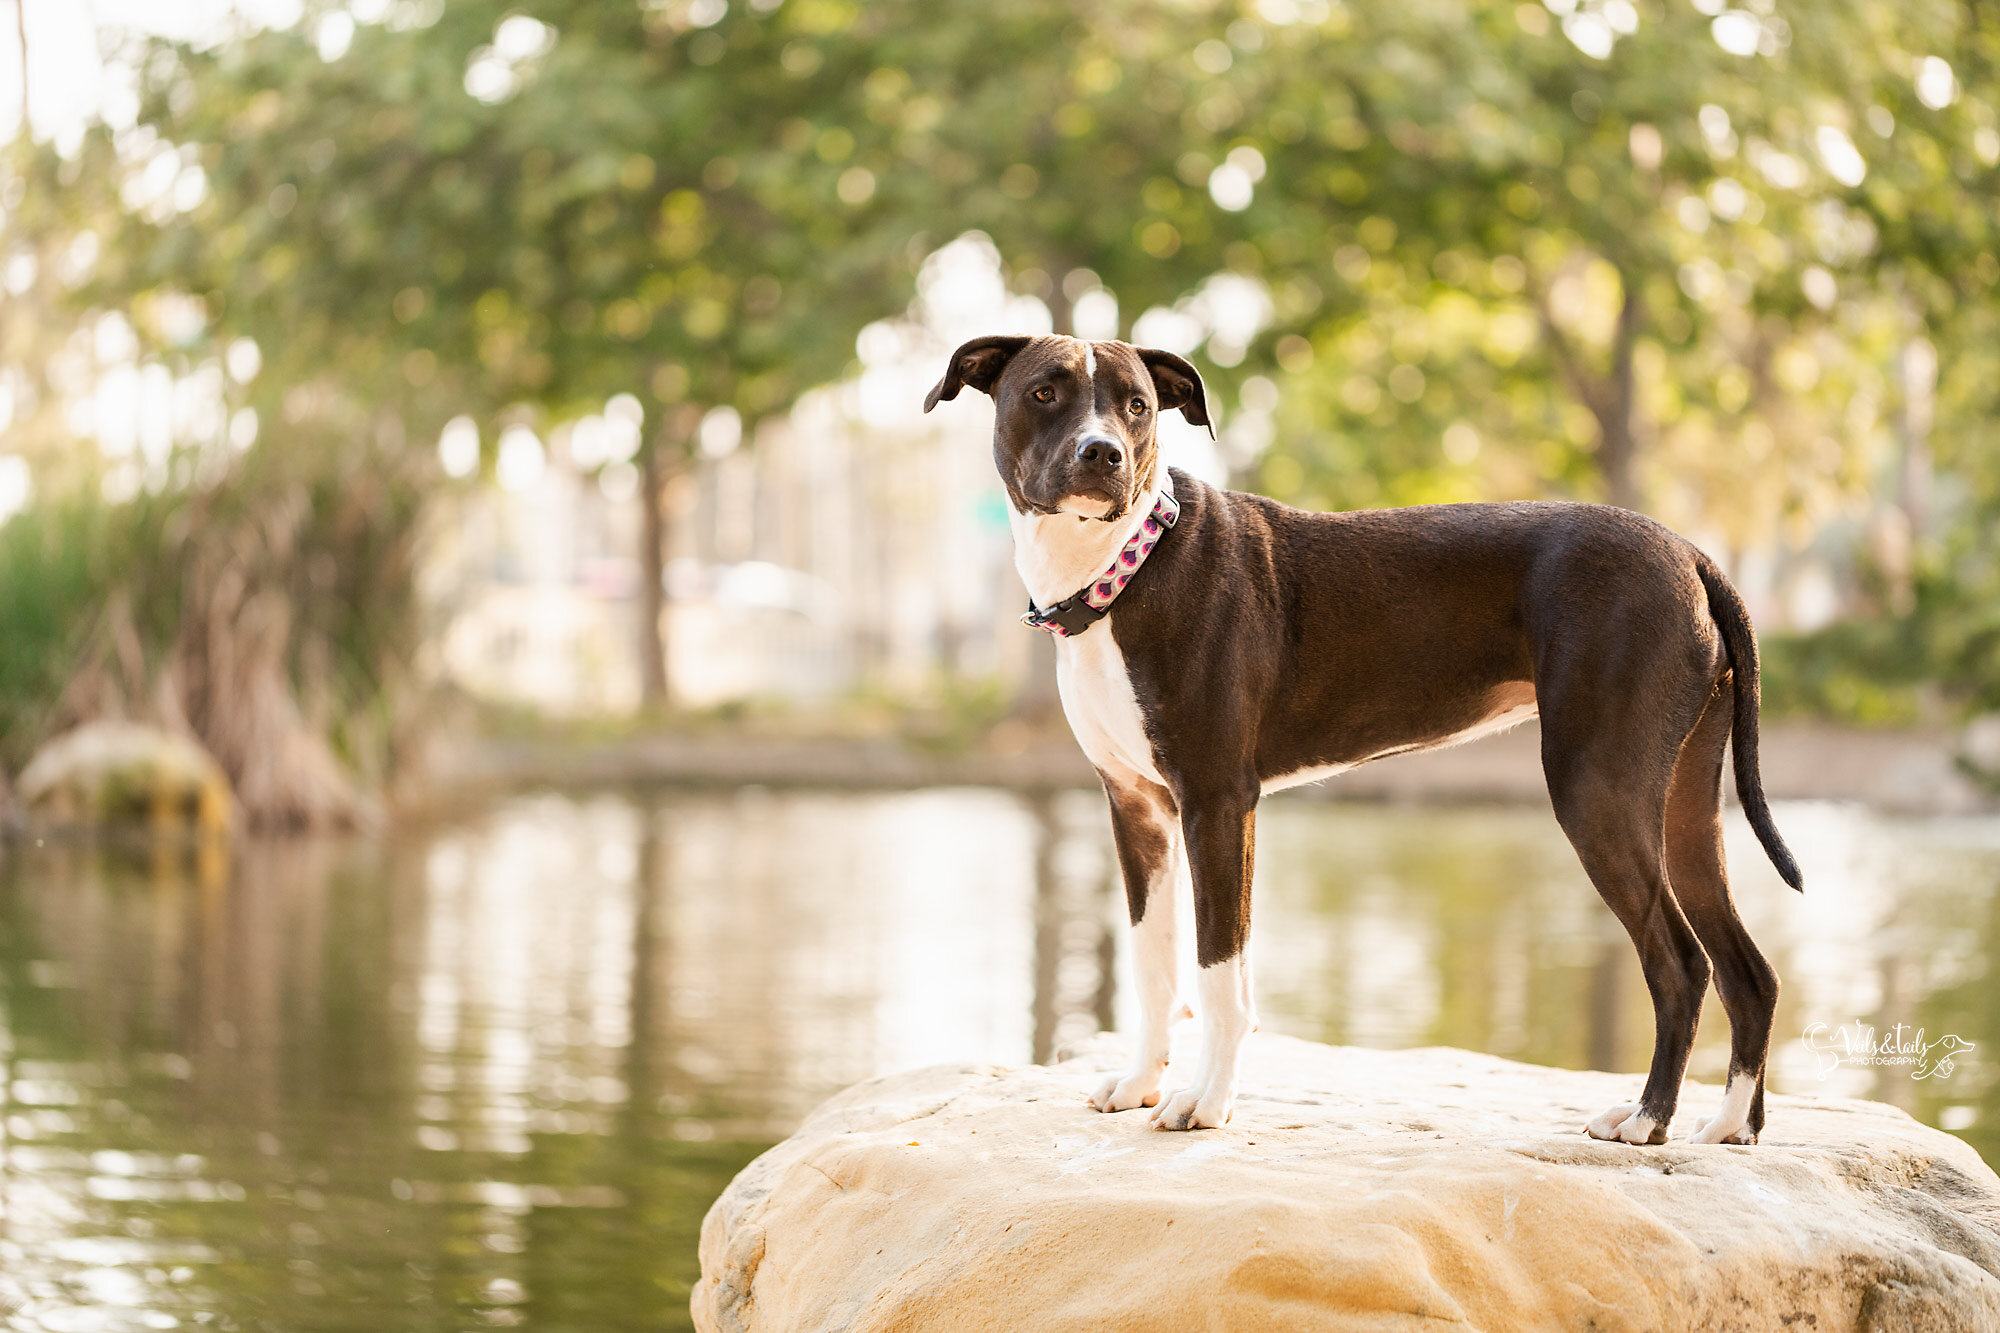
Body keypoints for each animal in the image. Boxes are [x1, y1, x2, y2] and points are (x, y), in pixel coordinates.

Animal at [928, 334, 1808, 1144]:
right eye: (1045, 392)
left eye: (1137, 405)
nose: (1103, 452)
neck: (1128, 566)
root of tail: (1688, 552)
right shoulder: (1136, 809)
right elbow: (1154, 964)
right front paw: (1142, 1082)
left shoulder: (1218, 804)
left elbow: (1219, 975)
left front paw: (1204, 1102)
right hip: (1683, 806)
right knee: (1749, 971)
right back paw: (1730, 1126)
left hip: (1599, 791)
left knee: (1681, 962)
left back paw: (1647, 1117)